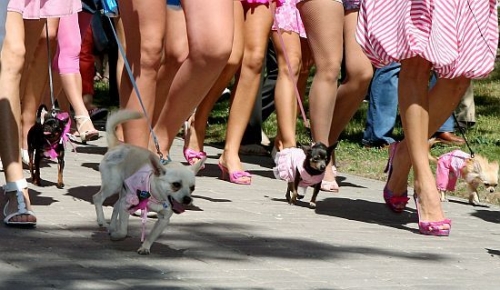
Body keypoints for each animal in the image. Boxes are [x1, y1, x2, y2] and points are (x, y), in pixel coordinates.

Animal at [93, 110, 204, 255]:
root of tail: (118, 144)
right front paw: (118, 235)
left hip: (123, 191)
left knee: (116, 205)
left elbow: (151, 236)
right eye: (176, 185)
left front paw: (145, 247)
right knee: (98, 198)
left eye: (192, 188)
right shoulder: (127, 205)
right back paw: (102, 221)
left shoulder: (163, 220)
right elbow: (123, 231)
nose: (187, 199)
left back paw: (111, 227)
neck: (156, 196)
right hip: (113, 185)